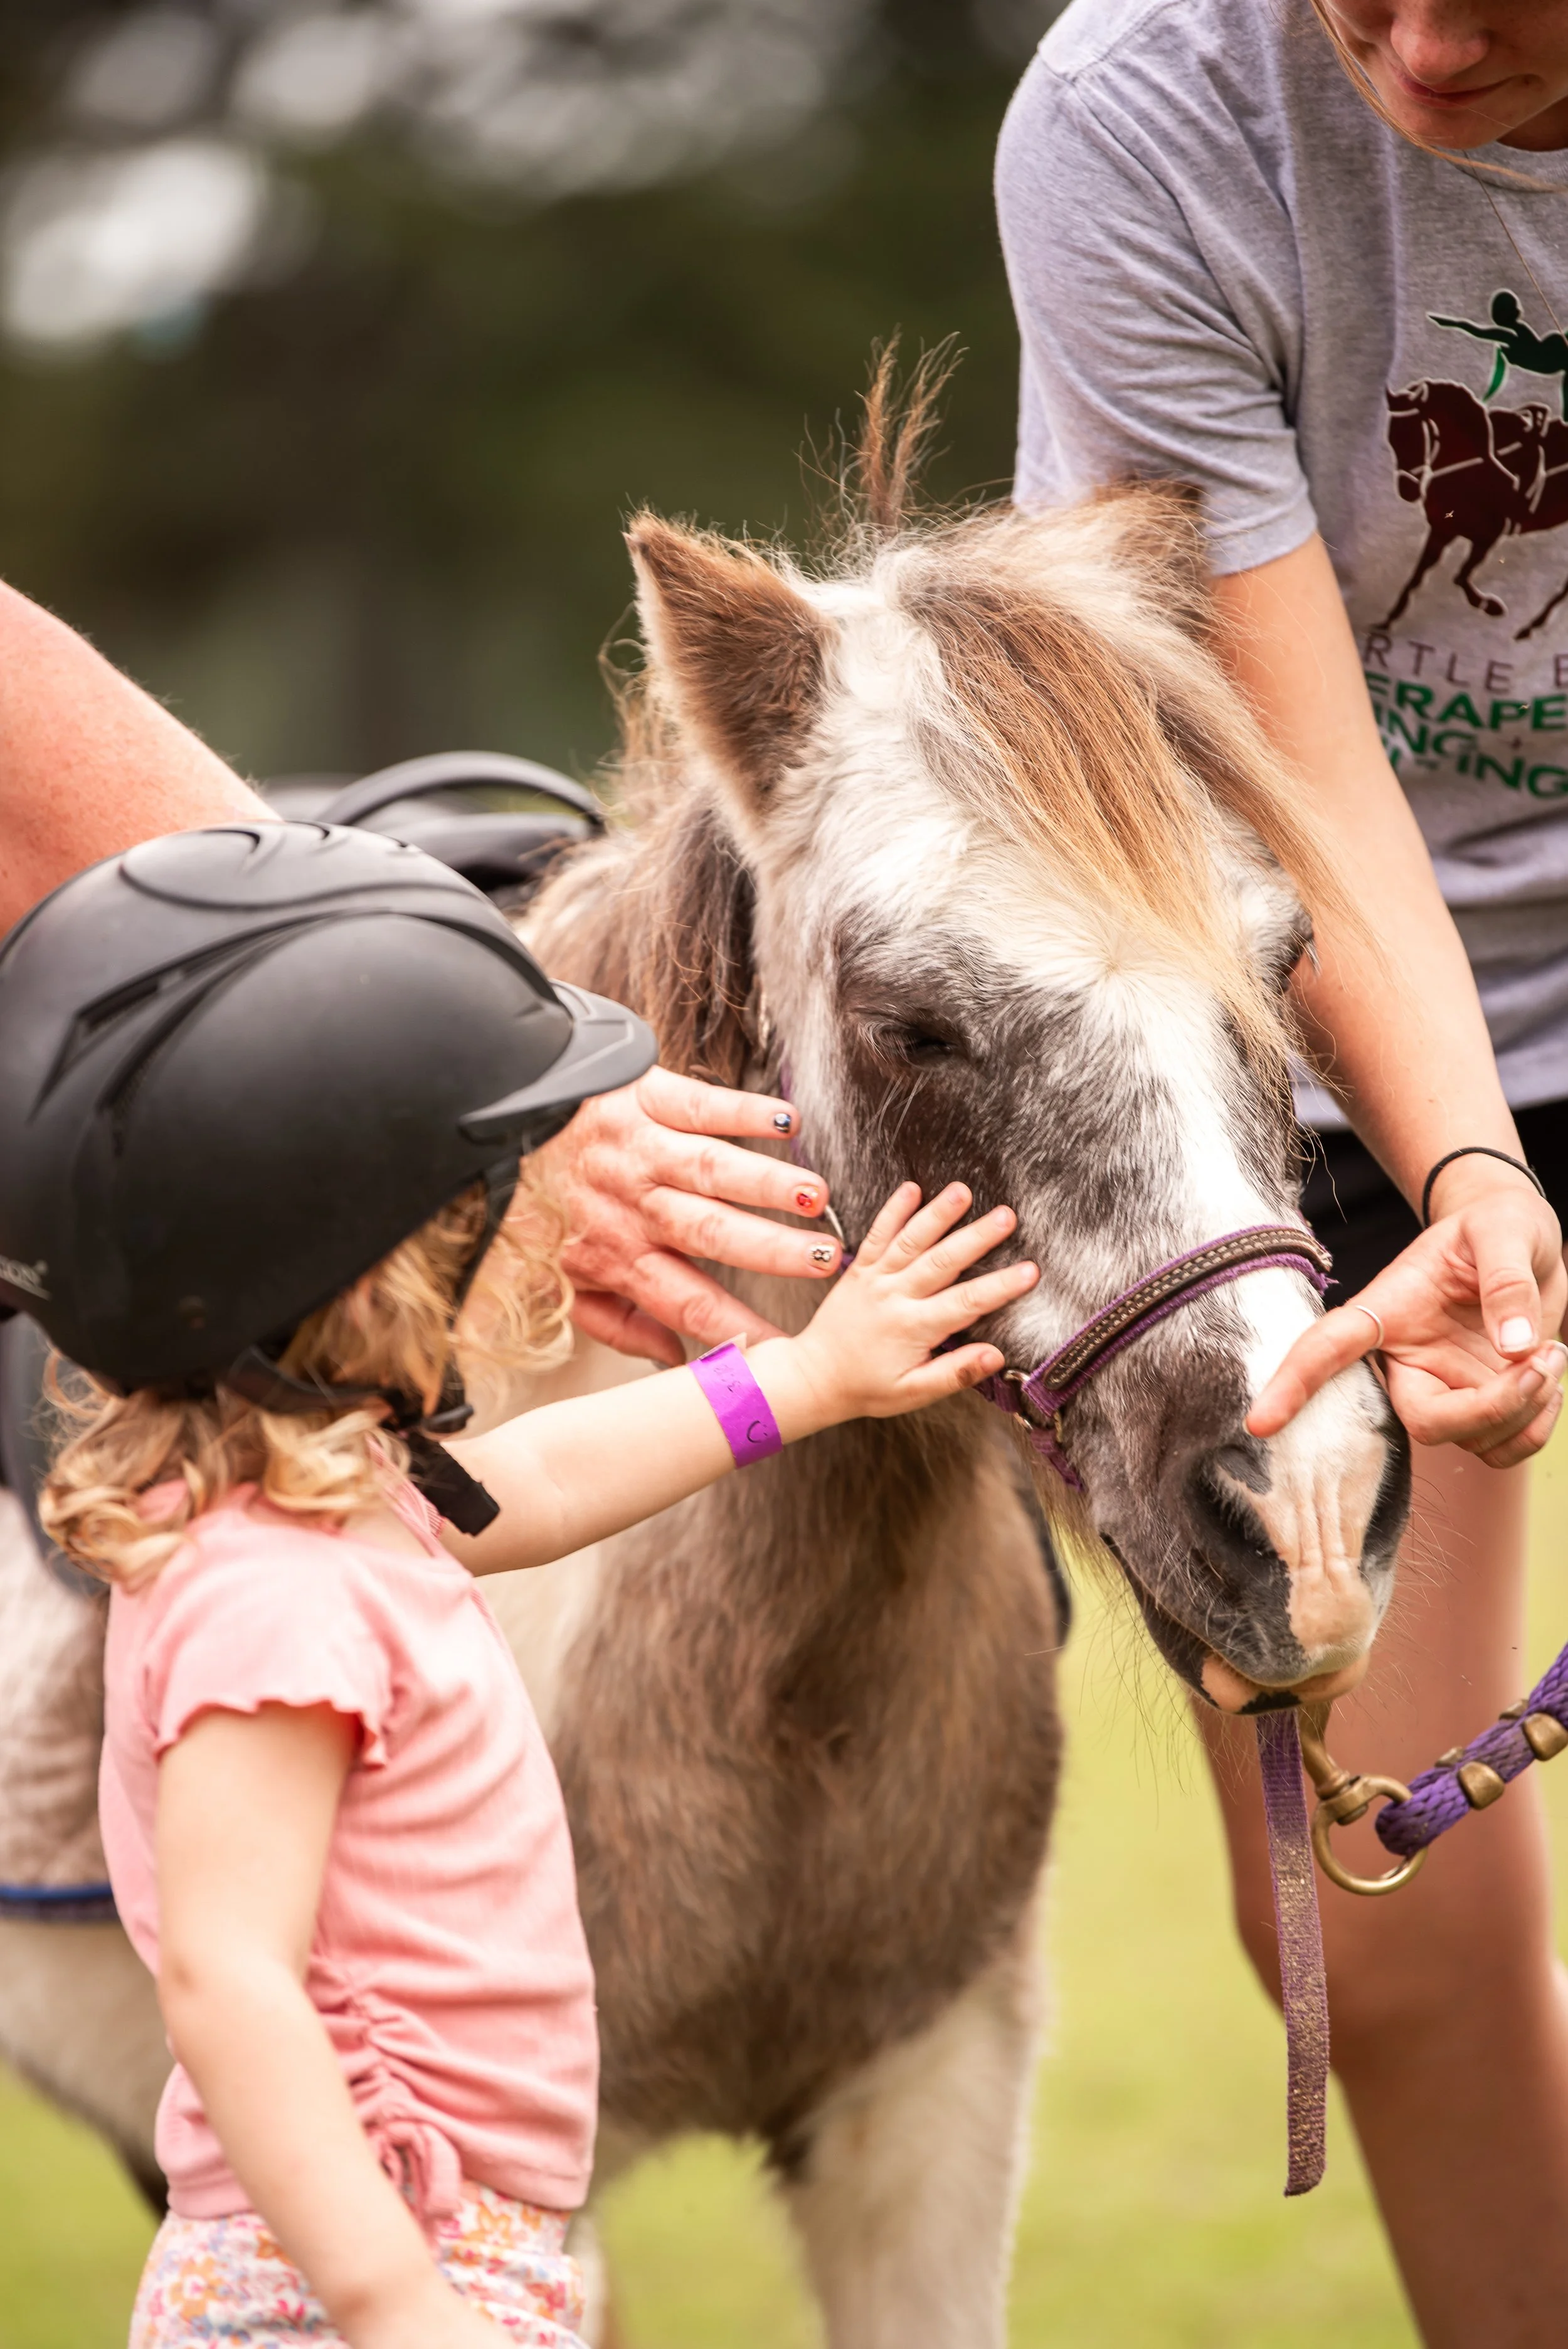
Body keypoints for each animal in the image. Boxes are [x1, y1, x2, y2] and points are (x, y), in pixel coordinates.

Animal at [1382, 377, 1568, 638]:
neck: (1471, 471)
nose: (1408, 491)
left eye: (1417, 437)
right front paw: (1387, 621)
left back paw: (1530, 627)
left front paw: (1490, 606)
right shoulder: (1441, 530)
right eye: (1392, 439)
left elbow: (1460, 577)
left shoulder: (1488, 537)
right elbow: (1417, 577)